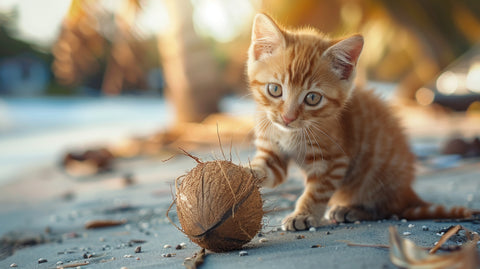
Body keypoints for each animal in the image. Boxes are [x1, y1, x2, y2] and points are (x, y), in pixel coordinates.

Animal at [246, 13, 470, 229]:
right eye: (275, 89)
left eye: (312, 98)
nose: (288, 117)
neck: (289, 133)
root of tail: (407, 192)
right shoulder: (272, 151)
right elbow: (267, 169)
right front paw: (245, 172)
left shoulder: (334, 162)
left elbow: (317, 191)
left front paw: (303, 214)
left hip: (374, 177)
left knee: (386, 210)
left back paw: (351, 211)